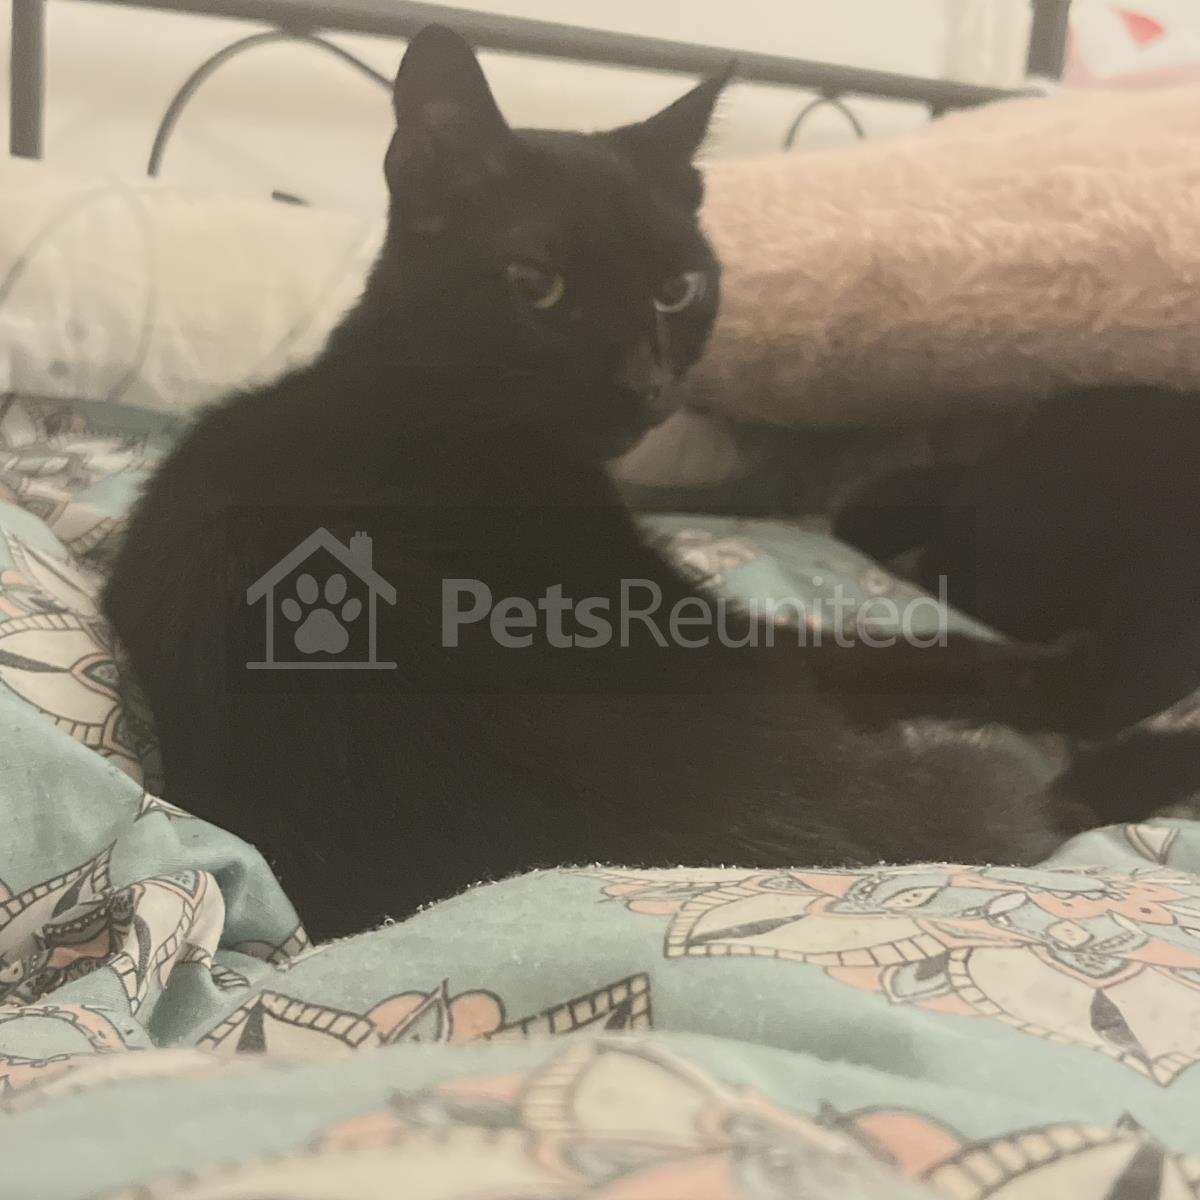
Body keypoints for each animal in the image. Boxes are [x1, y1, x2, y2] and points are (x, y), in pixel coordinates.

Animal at [104, 26, 1152, 943]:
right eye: (537, 283)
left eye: (677, 290)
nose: (643, 383)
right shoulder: (718, 622)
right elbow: (888, 647)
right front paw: (1058, 668)